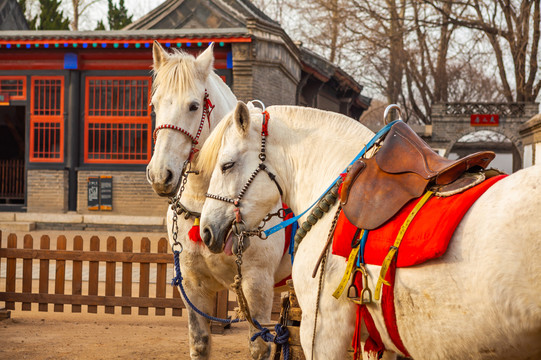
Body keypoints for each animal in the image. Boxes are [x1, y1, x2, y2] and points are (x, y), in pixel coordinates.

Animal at [146, 45, 292, 360]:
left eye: (193, 106)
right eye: (154, 104)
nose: (160, 174)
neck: (205, 202)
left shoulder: (257, 285)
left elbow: (259, 346)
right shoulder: (192, 285)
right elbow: (200, 342)